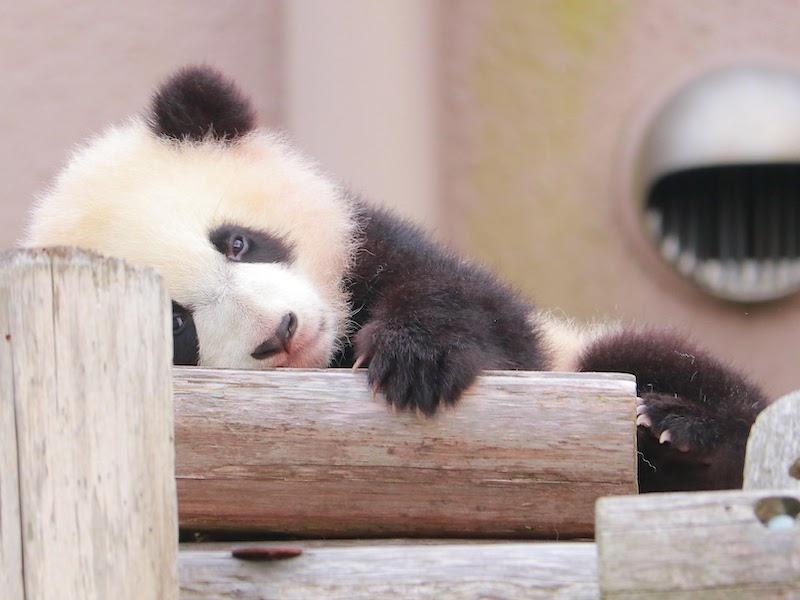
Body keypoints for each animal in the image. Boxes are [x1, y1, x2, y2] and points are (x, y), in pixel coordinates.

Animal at [20, 65, 768, 492]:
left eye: (237, 242)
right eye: (177, 327)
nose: (280, 334)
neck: (328, 356)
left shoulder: (375, 244)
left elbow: (478, 313)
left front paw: (416, 362)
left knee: (647, 361)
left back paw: (682, 433)